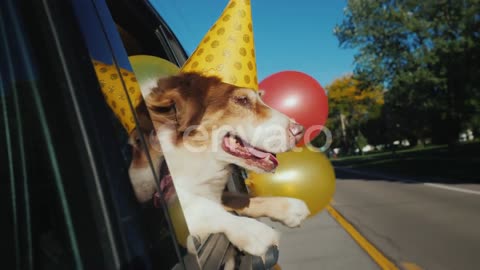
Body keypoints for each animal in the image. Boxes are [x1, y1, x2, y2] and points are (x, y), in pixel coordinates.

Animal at [127, 73, 310, 258]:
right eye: (242, 100)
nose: (300, 131)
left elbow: (239, 198)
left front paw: (289, 207)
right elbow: (201, 207)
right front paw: (252, 230)